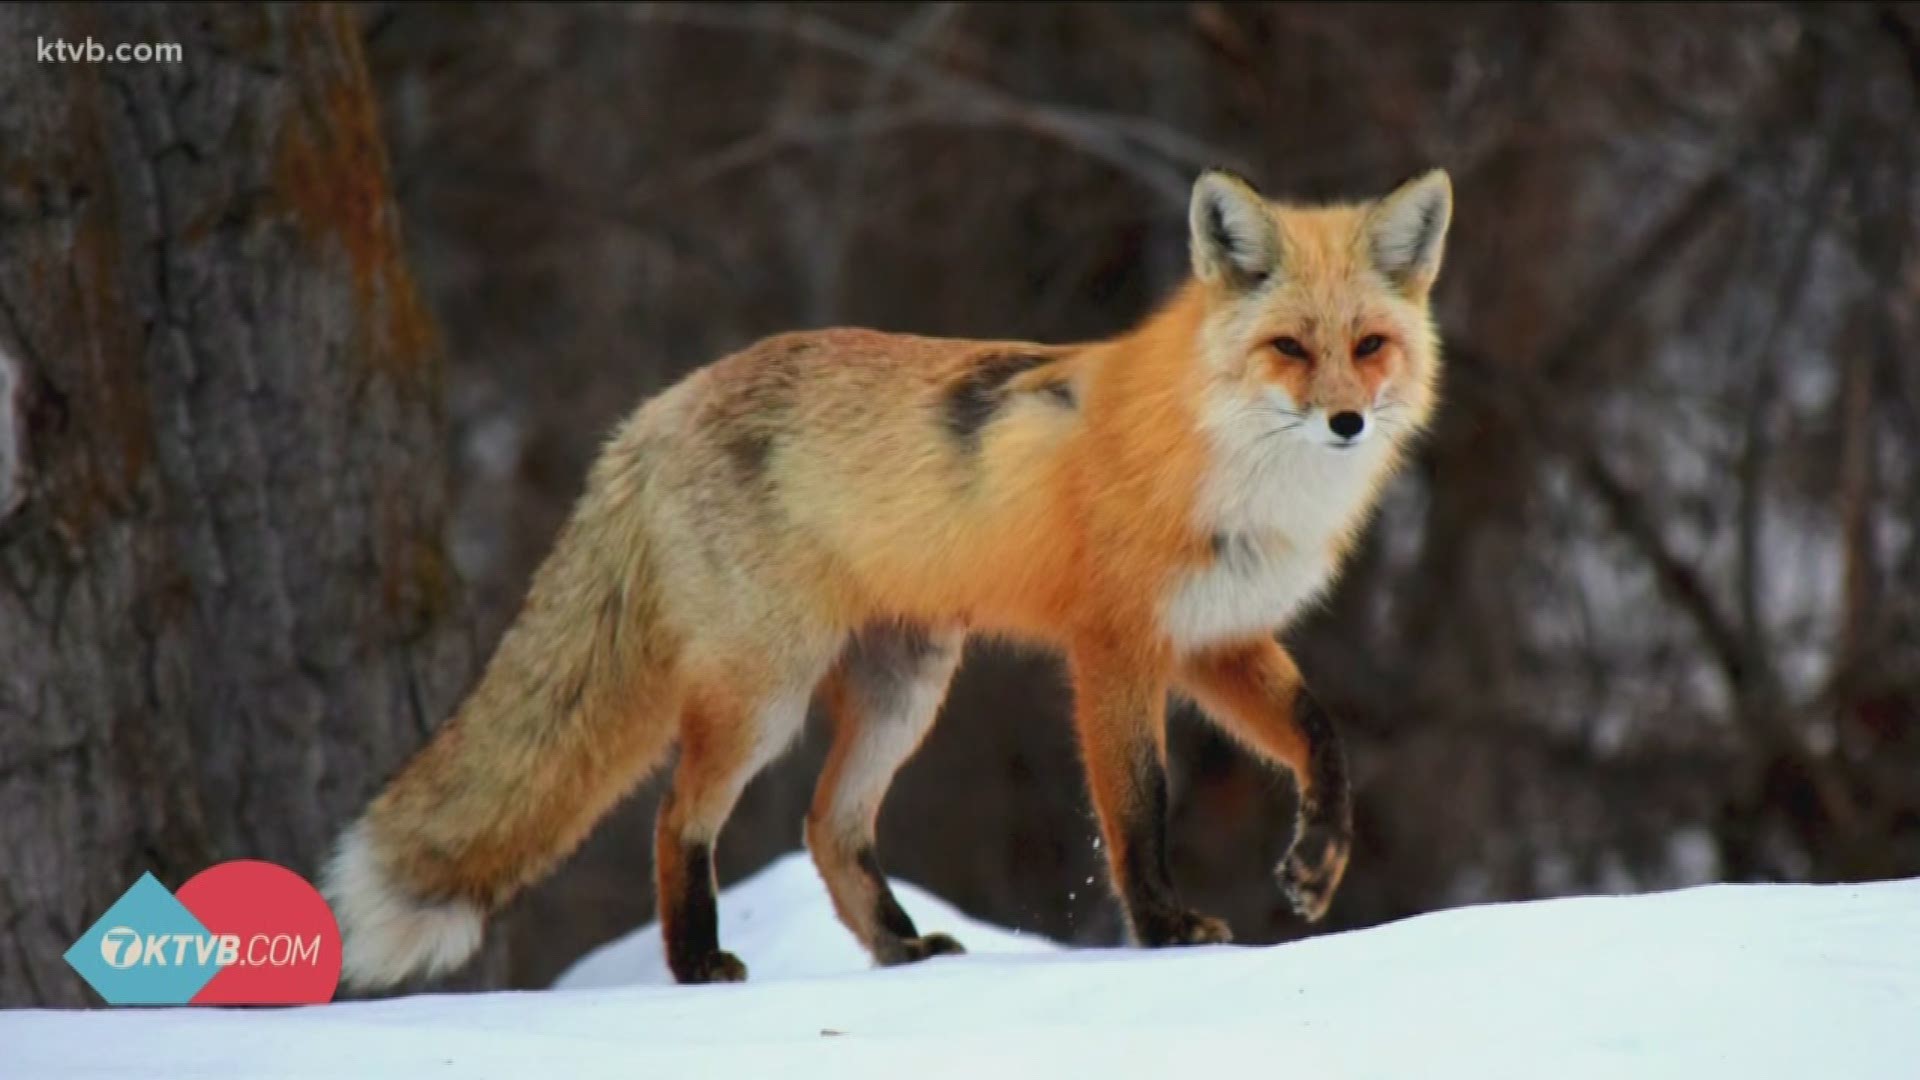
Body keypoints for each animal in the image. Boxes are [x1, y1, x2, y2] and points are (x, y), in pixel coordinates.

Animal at [322, 166, 1443, 983]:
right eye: (1289, 348)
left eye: (1369, 346)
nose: (1347, 421)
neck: (1238, 476)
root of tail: (658, 407)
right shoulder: (1116, 647)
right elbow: (1138, 808)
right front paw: (1166, 932)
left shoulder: (1214, 635)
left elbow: (1321, 737)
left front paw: (1319, 860)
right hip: (766, 695)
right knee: (680, 817)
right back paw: (696, 965)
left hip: (904, 689)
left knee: (829, 825)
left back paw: (898, 946)